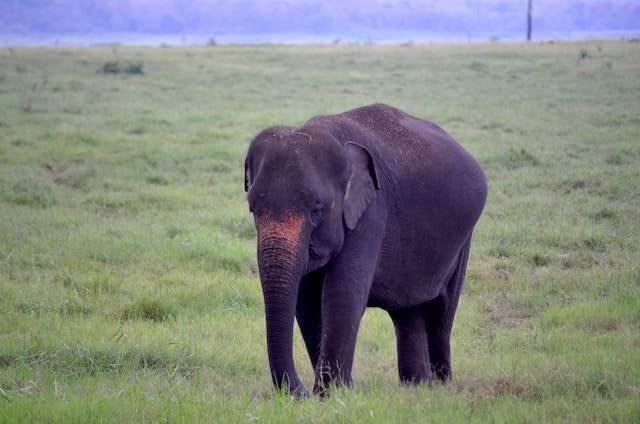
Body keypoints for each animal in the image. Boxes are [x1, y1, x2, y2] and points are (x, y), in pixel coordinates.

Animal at [244, 103, 487, 397]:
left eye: (317, 210)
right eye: (253, 209)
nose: (300, 393)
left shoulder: (370, 214)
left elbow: (341, 295)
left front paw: (334, 393)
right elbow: (306, 301)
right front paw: (330, 393)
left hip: (463, 239)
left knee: (442, 313)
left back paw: (440, 387)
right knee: (408, 312)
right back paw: (416, 387)